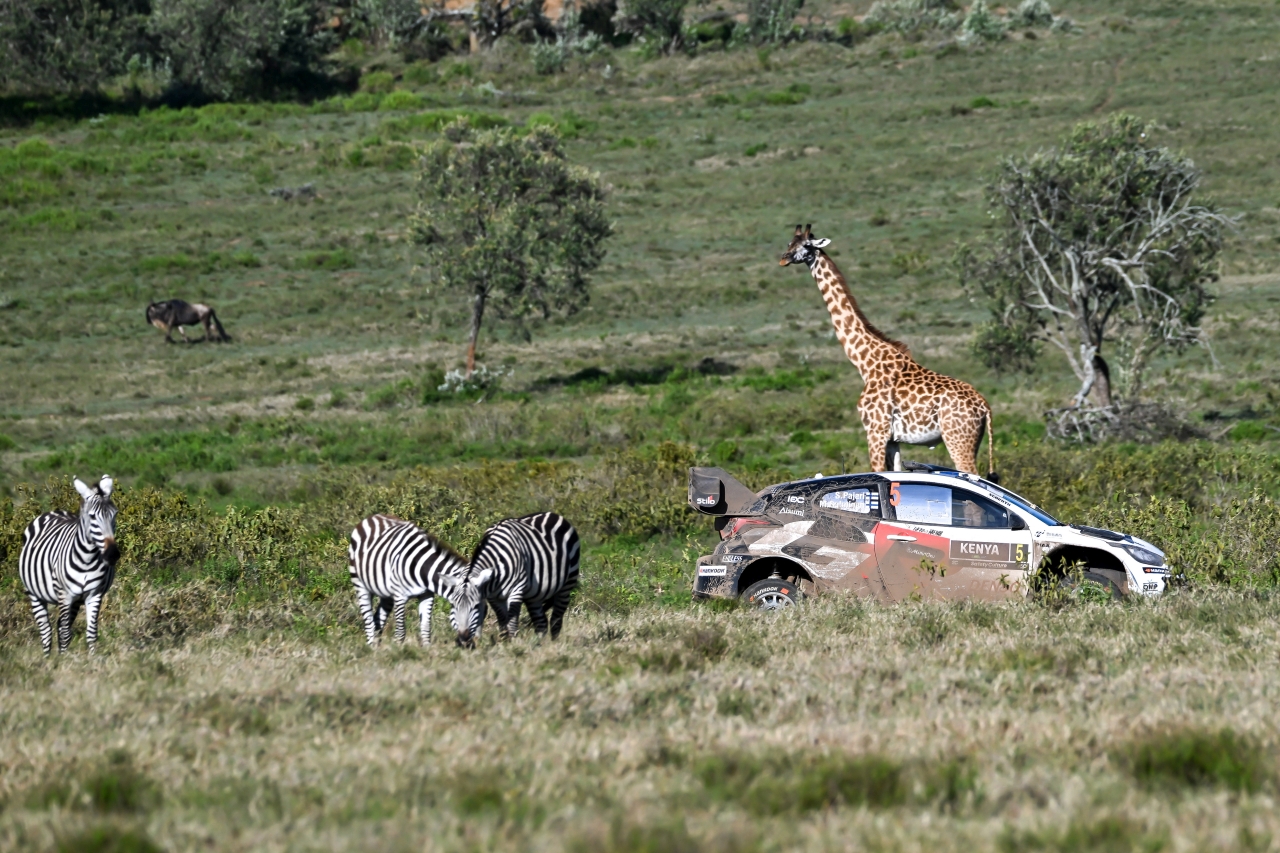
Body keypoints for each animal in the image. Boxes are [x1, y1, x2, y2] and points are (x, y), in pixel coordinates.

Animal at [18, 476, 120, 655]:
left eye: (114, 514)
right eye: (92, 516)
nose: (112, 554)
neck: (87, 560)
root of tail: (54, 511)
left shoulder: (94, 595)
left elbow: (91, 633)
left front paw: (93, 659)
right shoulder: (64, 596)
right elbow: (65, 633)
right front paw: (62, 660)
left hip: (76, 601)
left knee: (59, 626)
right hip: (34, 594)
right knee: (46, 630)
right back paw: (48, 658)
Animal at [347, 514, 471, 646]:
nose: (468, 642)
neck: (422, 568)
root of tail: (372, 517)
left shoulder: (426, 595)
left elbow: (426, 628)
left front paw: (427, 649)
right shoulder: (400, 597)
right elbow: (401, 632)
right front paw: (398, 650)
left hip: (387, 595)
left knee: (377, 620)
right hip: (360, 585)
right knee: (369, 623)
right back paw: (371, 647)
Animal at [450, 512, 580, 646]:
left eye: (475, 606)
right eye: (453, 605)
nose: (463, 638)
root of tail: (553, 514)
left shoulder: (516, 590)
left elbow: (511, 622)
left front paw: (513, 645)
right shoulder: (493, 597)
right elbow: (502, 620)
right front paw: (504, 642)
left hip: (567, 583)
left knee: (556, 619)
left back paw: (554, 645)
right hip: (534, 595)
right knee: (541, 623)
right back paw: (539, 646)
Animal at [779, 225, 996, 478]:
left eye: (805, 245)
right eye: (789, 243)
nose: (783, 259)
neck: (864, 361)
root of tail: (985, 407)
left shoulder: (875, 430)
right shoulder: (894, 439)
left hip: (957, 438)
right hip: (973, 440)